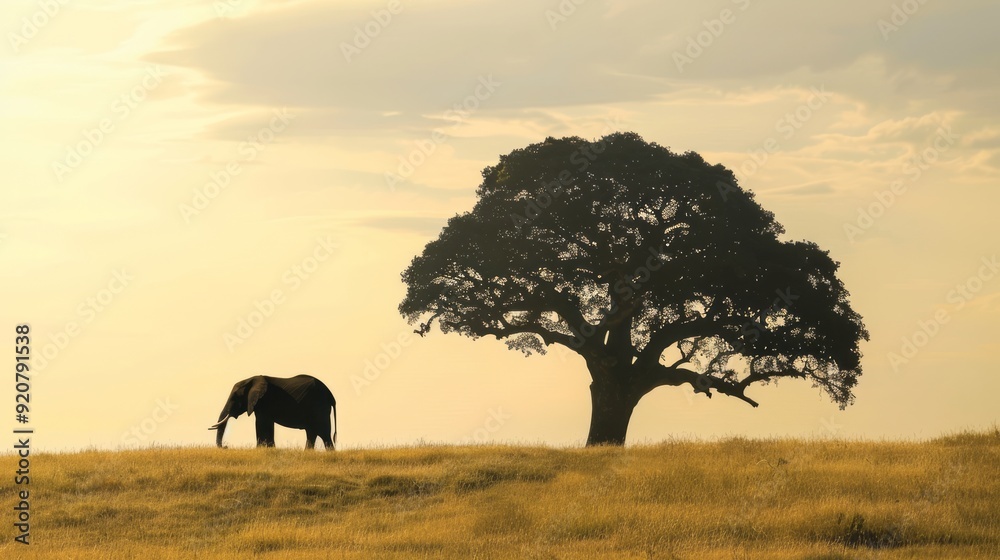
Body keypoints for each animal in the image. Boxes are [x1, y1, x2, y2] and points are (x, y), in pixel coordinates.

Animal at [208, 374, 337, 450]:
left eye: (235, 397)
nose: (226, 446)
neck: (251, 380)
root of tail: (331, 396)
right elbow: (266, 425)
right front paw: (270, 450)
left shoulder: (264, 402)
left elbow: (261, 424)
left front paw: (261, 450)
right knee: (312, 433)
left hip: (319, 408)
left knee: (324, 434)